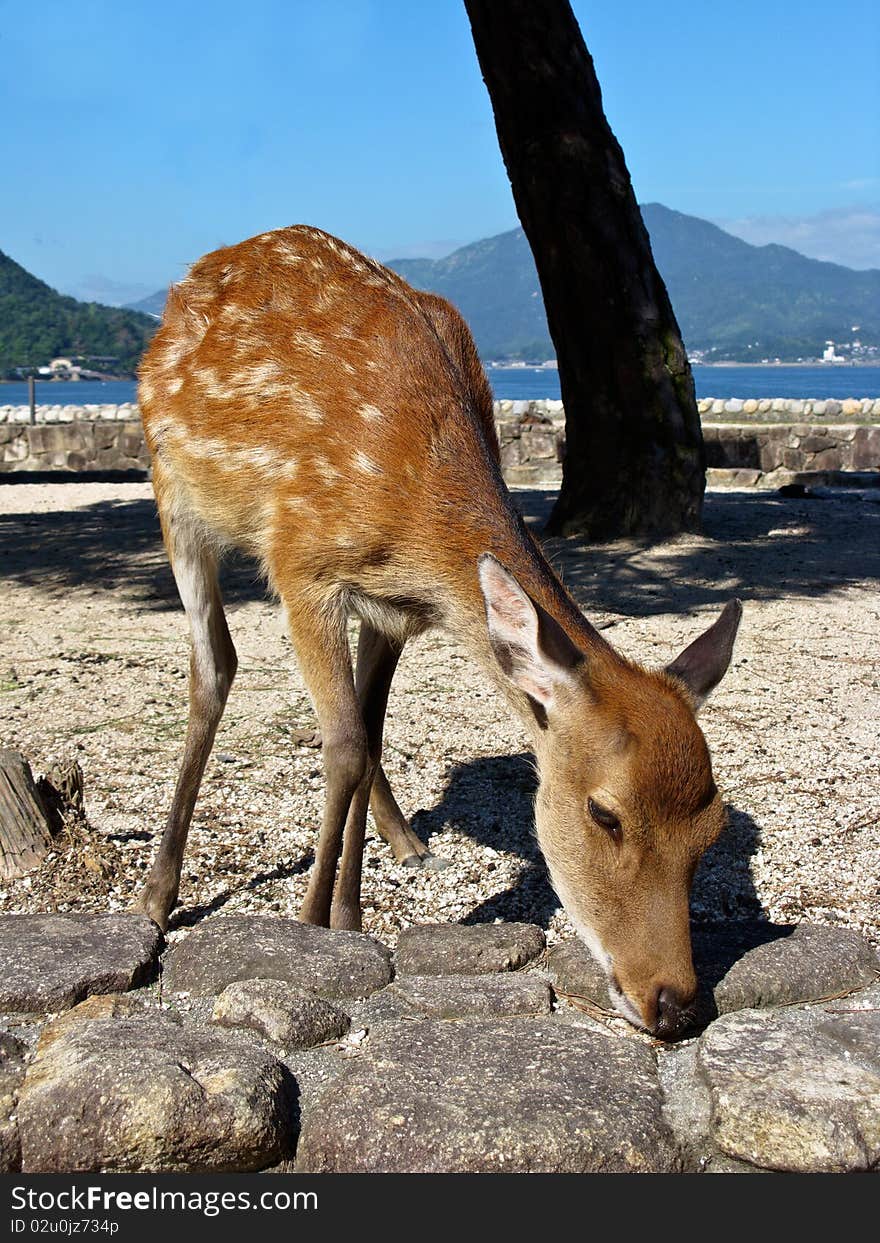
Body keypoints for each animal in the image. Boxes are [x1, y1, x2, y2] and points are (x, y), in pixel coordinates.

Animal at [135, 223, 740, 1039]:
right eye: (604, 813)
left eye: (712, 829)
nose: (673, 1002)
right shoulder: (301, 564)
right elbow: (343, 745)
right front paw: (309, 924)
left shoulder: (399, 610)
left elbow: (365, 741)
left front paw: (350, 916)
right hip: (173, 486)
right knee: (215, 665)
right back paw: (158, 892)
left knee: (356, 725)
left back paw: (406, 840)